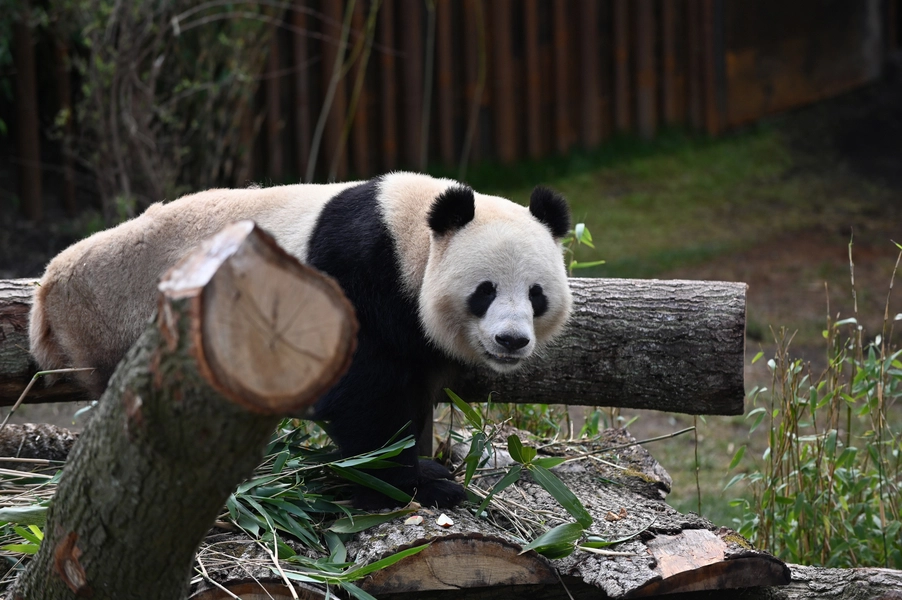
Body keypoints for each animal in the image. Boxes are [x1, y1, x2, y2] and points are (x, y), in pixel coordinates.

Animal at [30, 172, 572, 508]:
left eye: (536, 294)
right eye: (485, 291)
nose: (511, 340)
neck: (412, 238)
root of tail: (48, 284)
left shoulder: (413, 328)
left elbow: (414, 387)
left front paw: (423, 459)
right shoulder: (356, 270)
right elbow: (362, 392)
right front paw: (415, 482)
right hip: (116, 315)